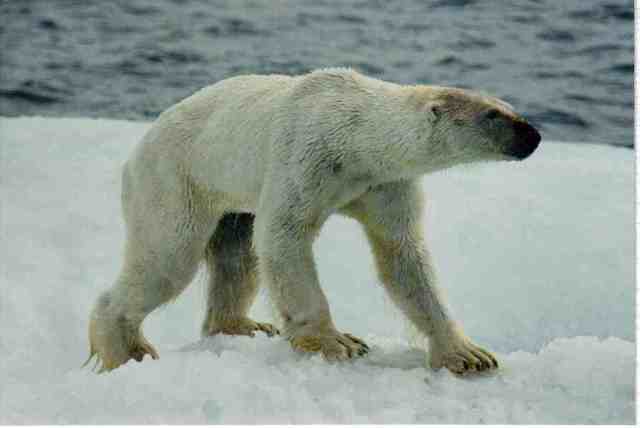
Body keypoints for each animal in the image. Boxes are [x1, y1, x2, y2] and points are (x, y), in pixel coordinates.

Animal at [85, 68, 540, 375]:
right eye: (493, 115)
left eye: (509, 107)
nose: (533, 135)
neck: (358, 135)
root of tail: (140, 145)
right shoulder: (307, 155)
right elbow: (284, 236)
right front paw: (337, 341)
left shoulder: (384, 184)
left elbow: (402, 254)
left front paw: (469, 354)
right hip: (177, 178)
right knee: (169, 256)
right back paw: (126, 348)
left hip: (229, 199)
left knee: (237, 256)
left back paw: (242, 325)